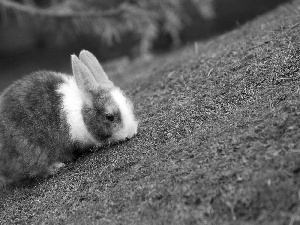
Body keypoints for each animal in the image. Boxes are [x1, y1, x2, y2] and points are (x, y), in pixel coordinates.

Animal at [0, 49, 138, 185]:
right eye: (109, 116)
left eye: (130, 104)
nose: (131, 132)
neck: (81, 112)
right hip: (30, 152)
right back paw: (56, 166)